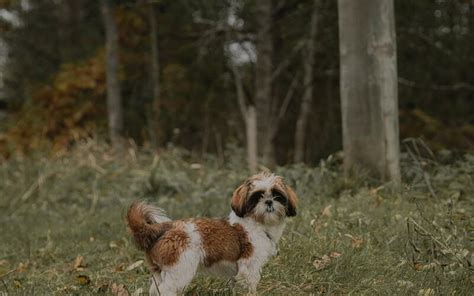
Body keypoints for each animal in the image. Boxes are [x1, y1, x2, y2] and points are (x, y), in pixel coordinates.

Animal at [126, 172, 296, 294]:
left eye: (277, 195)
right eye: (257, 197)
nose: (269, 201)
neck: (256, 223)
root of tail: (166, 228)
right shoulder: (249, 266)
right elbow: (249, 283)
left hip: (159, 272)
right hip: (180, 269)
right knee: (166, 290)